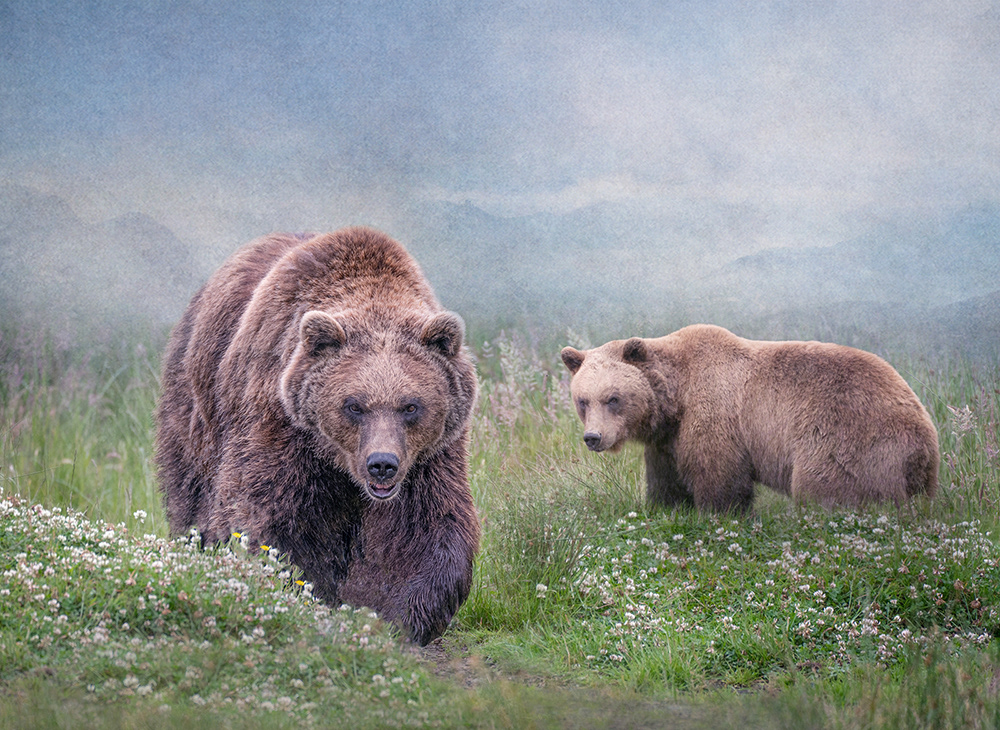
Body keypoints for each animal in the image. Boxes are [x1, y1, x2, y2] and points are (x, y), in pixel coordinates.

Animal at [155, 227, 480, 645]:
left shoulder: (429, 457)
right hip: (197, 400)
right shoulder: (281, 424)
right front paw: (304, 592)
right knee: (190, 484)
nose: (382, 465)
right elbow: (271, 519)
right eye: (353, 405)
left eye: (411, 406)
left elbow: (424, 528)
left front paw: (400, 616)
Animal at [561, 324, 939, 512]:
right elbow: (666, 480)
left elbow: (719, 476)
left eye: (613, 398)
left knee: (824, 487)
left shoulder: (714, 414)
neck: (674, 400)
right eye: (582, 400)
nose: (593, 437)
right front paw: (666, 507)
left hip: (847, 440)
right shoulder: (668, 440)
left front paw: (717, 513)